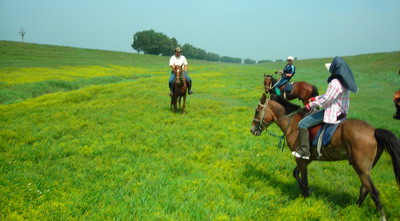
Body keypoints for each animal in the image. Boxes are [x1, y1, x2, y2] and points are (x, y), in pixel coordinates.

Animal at [250, 93, 400, 219]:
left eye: (257, 111)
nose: (252, 130)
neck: (293, 124)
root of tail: (374, 131)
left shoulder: (300, 158)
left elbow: (304, 179)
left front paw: (306, 195)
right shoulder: (306, 158)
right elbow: (295, 174)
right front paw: (308, 191)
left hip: (361, 168)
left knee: (374, 192)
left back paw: (380, 216)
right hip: (366, 169)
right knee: (364, 189)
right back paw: (352, 209)